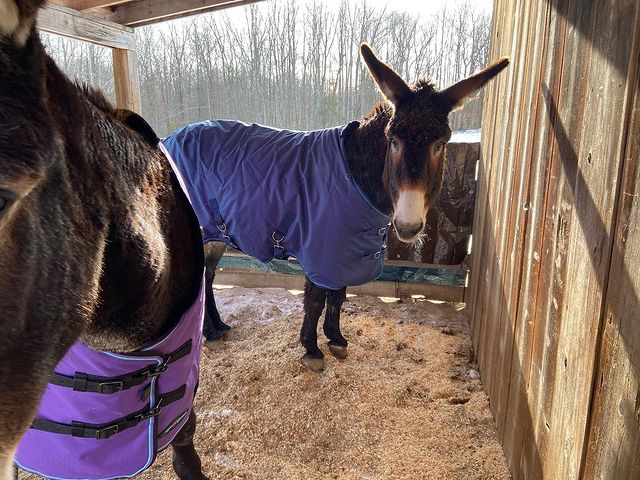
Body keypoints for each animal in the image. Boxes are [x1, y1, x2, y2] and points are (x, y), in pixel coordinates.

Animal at [168, 44, 509, 371]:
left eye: (440, 144)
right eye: (393, 141)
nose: (408, 225)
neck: (353, 173)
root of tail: (170, 138)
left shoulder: (344, 248)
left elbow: (338, 296)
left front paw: (336, 339)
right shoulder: (320, 248)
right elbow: (317, 300)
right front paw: (312, 350)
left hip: (214, 234)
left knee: (207, 276)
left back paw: (217, 328)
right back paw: (208, 334)